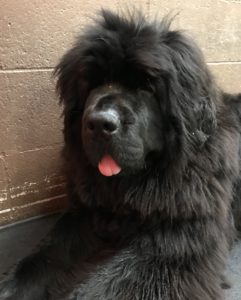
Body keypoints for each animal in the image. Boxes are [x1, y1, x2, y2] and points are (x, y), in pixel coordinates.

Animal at [0, 8, 241, 298]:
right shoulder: (85, 214)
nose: (100, 123)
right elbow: (46, 253)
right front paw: (11, 287)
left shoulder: (180, 241)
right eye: (93, 84)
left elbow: (112, 283)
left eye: (147, 86)